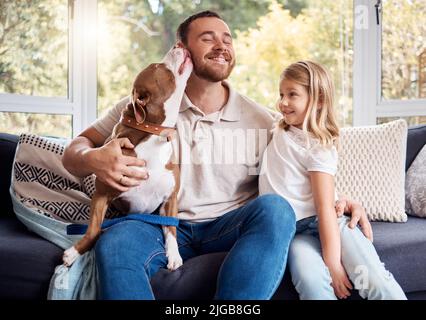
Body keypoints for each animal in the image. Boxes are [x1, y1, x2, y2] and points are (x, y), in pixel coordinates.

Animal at [63, 45, 193, 270]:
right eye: (158, 66)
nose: (178, 45)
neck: (153, 134)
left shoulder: (170, 199)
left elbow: (171, 230)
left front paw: (174, 255)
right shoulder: (102, 195)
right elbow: (94, 230)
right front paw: (75, 252)